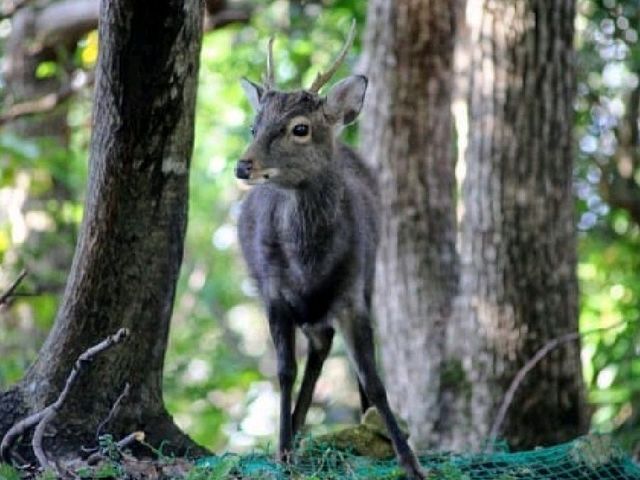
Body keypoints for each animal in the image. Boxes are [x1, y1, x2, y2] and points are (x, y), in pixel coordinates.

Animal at [235, 23, 424, 480]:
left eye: (300, 128)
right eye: (254, 126)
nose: (243, 165)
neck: (308, 264)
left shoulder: (353, 292)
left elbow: (374, 379)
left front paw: (410, 461)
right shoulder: (274, 293)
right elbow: (284, 371)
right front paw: (283, 452)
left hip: (368, 279)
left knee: (329, 348)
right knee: (318, 346)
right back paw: (295, 429)